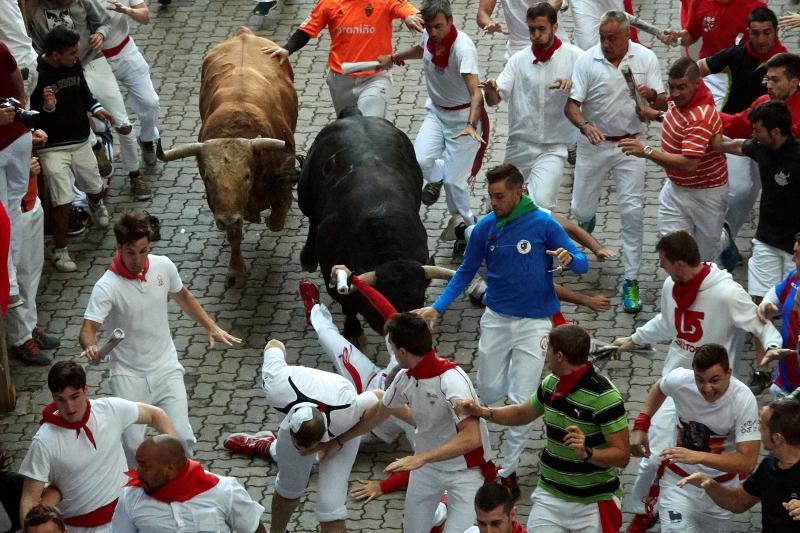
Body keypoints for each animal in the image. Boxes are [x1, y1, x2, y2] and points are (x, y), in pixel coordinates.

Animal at [156, 26, 296, 286]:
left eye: (247, 176)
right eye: (208, 177)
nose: (228, 219)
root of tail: (244, 33)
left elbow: (276, 218)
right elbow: (235, 236)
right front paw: (236, 270)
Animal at [300, 112, 434, 340]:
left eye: (420, 299)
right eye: (381, 301)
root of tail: (356, 116)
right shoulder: (331, 269)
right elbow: (348, 303)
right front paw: (353, 331)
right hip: (305, 192)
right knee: (311, 218)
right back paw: (308, 257)